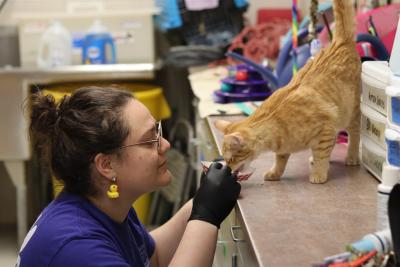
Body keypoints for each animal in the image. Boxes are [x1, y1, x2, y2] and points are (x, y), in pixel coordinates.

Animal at [216, 0, 362, 184]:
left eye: (231, 159)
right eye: (226, 160)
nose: (228, 169)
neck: (276, 123)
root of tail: (339, 41)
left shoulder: (325, 130)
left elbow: (322, 156)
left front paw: (319, 173)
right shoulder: (285, 147)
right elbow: (280, 160)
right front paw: (275, 173)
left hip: (351, 113)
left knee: (354, 135)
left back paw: (352, 156)